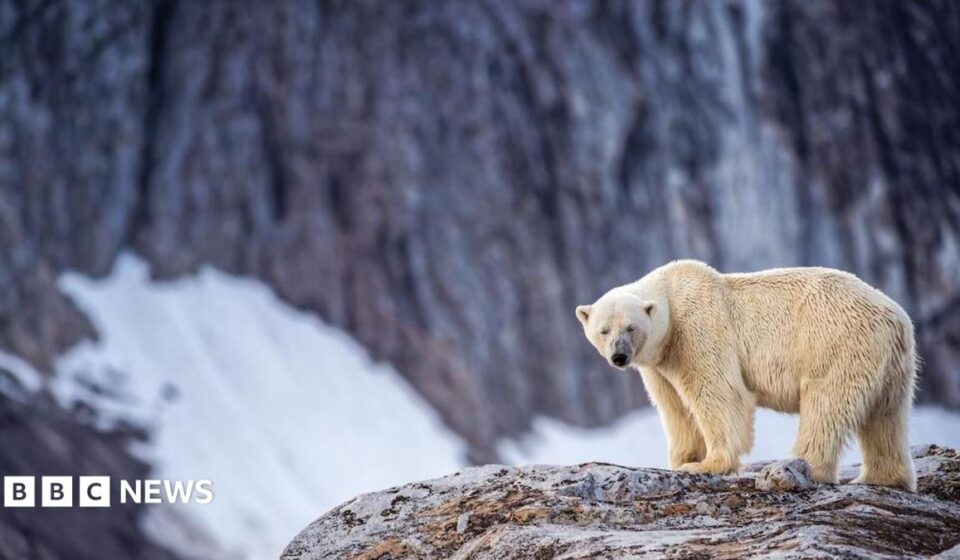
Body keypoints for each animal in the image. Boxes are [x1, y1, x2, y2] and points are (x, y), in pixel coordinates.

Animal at [575, 260, 917, 491]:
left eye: (630, 327)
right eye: (603, 330)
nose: (619, 357)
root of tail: (896, 318)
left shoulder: (699, 327)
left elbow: (720, 393)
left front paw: (705, 465)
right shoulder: (659, 363)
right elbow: (674, 407)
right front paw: (682, 460)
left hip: (835, 341)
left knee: (826, 403)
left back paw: (800, 468)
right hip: (891, 363)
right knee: (886, 416)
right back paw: (882, 477)